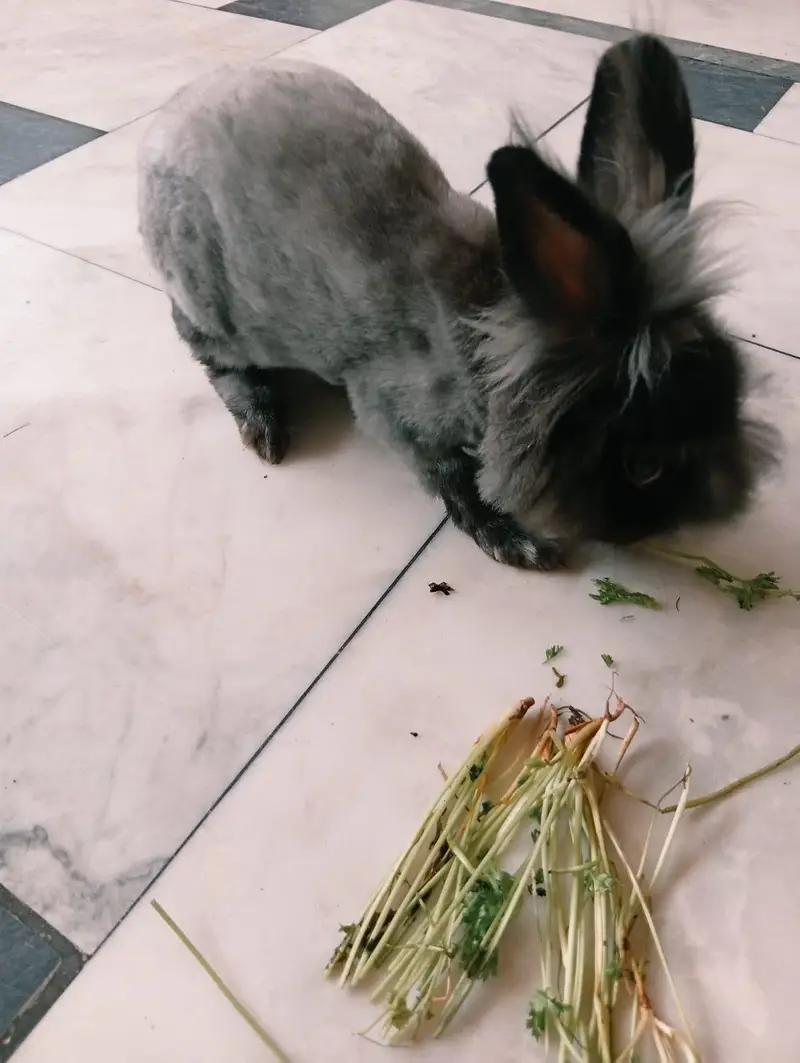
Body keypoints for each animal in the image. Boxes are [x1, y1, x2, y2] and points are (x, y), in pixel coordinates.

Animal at [138, 34, 778, 570]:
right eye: (644, 468)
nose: (722, 512)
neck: (492, 347)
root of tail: (167, 121)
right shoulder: (397, 418)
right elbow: (453, 479)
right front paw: (517, 542)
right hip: (215, 310)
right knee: (212, 355)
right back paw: (265, 427)